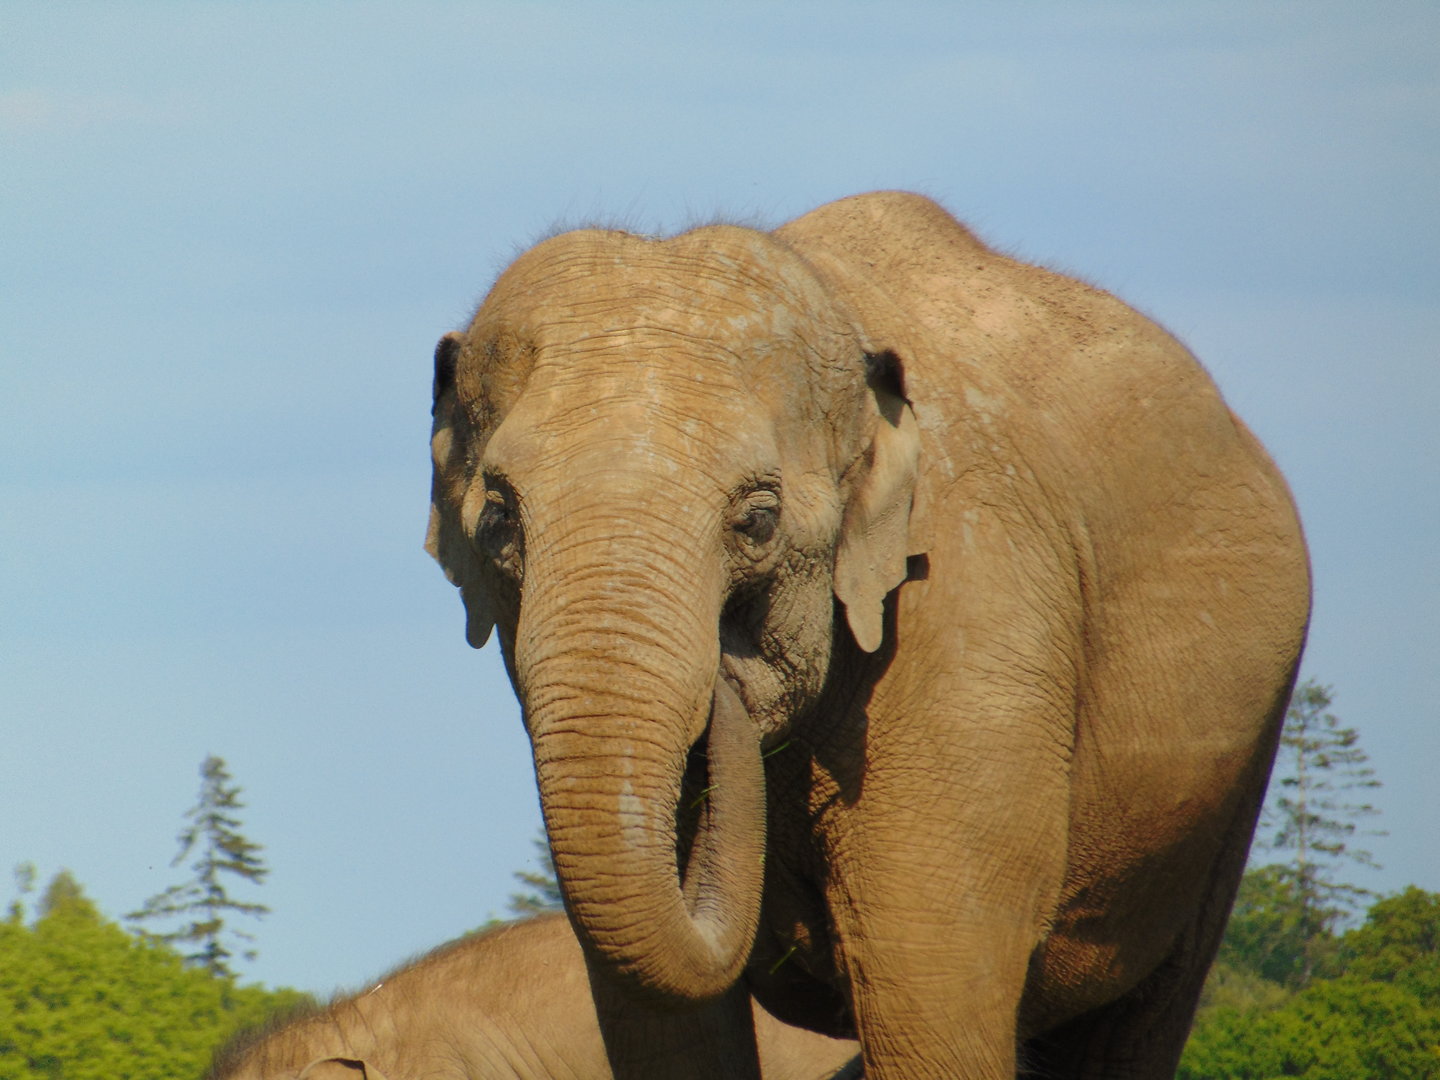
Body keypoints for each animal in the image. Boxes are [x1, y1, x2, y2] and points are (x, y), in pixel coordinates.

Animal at [426, 191, 1311, 1079]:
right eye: (497, 519)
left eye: (758, 520)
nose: (724, 678)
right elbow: (662, 1024)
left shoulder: (967, 611)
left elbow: (930, 986)